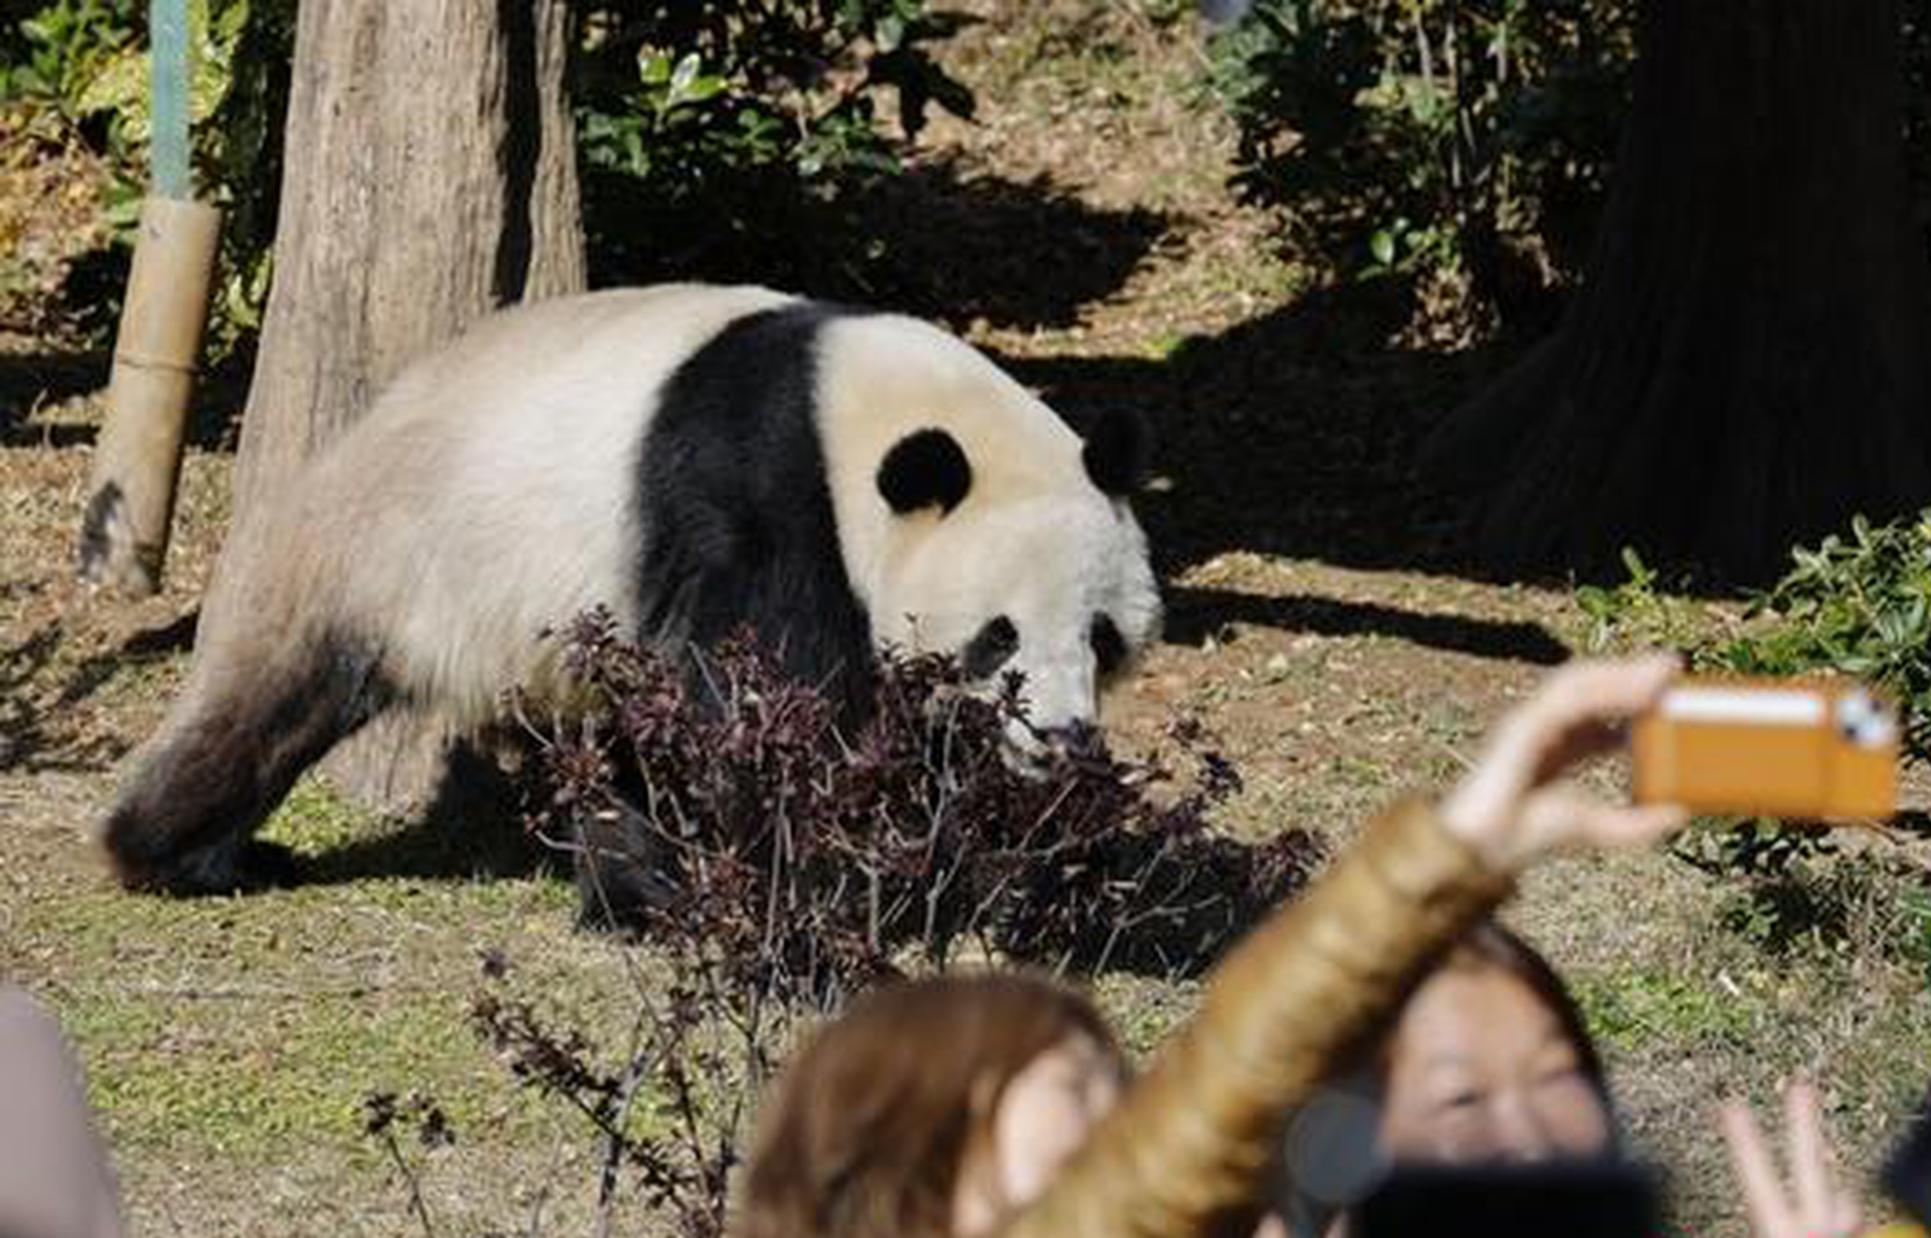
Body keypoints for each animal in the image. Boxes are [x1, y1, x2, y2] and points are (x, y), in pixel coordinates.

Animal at [101, 283, 1163, 896]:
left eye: (1100, 636)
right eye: (997, 635)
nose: (1060, 739)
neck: (858, 410)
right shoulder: (757, 492)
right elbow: (765, 700)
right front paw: (822, 873)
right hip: (390, 555)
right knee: (266, 707)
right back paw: (173, 855)